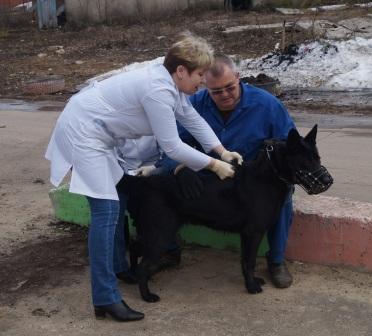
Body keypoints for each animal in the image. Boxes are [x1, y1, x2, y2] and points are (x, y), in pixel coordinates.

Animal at [116, 124, 332, 304]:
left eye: (318, 158)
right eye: (305, 162)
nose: (328, 180)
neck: (267, 177)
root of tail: (146, 182)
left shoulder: (248, 235)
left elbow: (246, 261)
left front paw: (253, 281)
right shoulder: (252, 233)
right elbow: (249, 261)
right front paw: (251, 286)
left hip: (151, 231)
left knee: (134, 245)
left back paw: (132, 275)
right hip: (160, 233)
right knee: (144, 264)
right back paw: (146, 295)